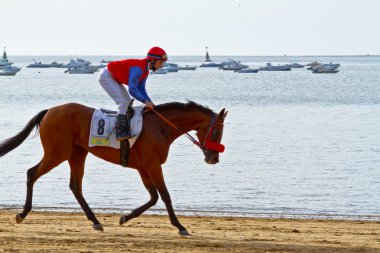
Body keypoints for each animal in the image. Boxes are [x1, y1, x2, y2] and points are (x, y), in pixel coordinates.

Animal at [0, 101, 226, 235]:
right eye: (216, 132)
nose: (213, 158)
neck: (160, 126)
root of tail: (50, 111)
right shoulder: (153, 165)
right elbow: (164, 195)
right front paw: (180, 226)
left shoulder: (143, 167)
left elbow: (153, 196)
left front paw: (125, 217)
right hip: (57, 153)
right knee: (32, 173)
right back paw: (22, 213)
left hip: (77, 154)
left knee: (75, 186)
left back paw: (95, 221)